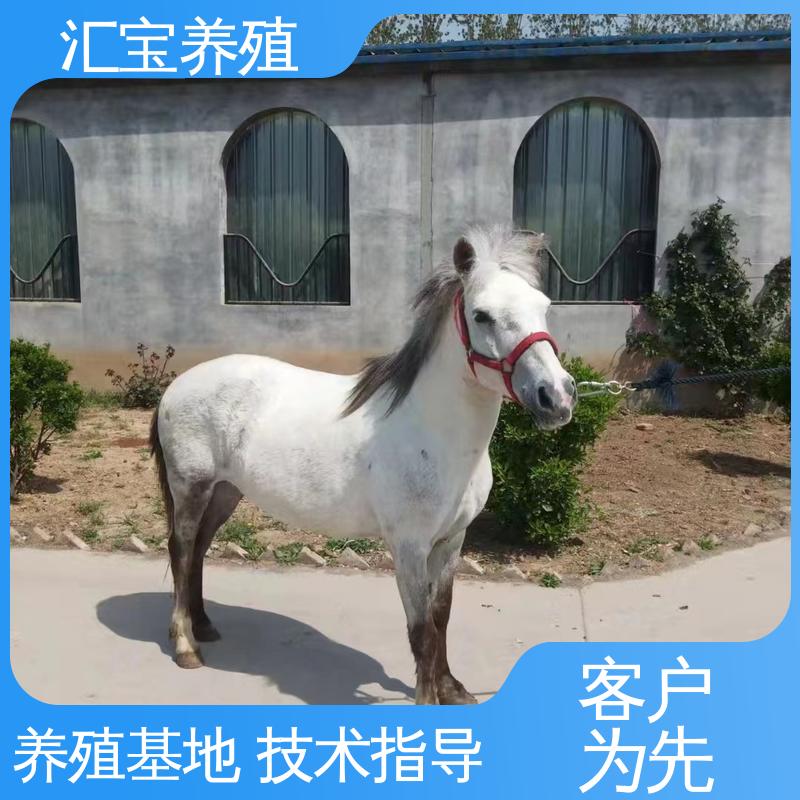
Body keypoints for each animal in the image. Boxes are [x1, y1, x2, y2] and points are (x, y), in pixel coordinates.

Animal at [150, 225, 577, 704]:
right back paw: (185, 644)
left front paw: (451, 687)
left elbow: (441, 617)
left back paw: (204, 626)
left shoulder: (452, 541)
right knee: (181, 549)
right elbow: (421, 630)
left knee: (200, 549)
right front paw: (427, 699)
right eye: (482, 315)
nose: (556, 397)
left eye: (543, 306)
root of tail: (176, 386)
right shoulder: (408, 546)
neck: (432, 432)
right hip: (192, 487)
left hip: (226, 491)